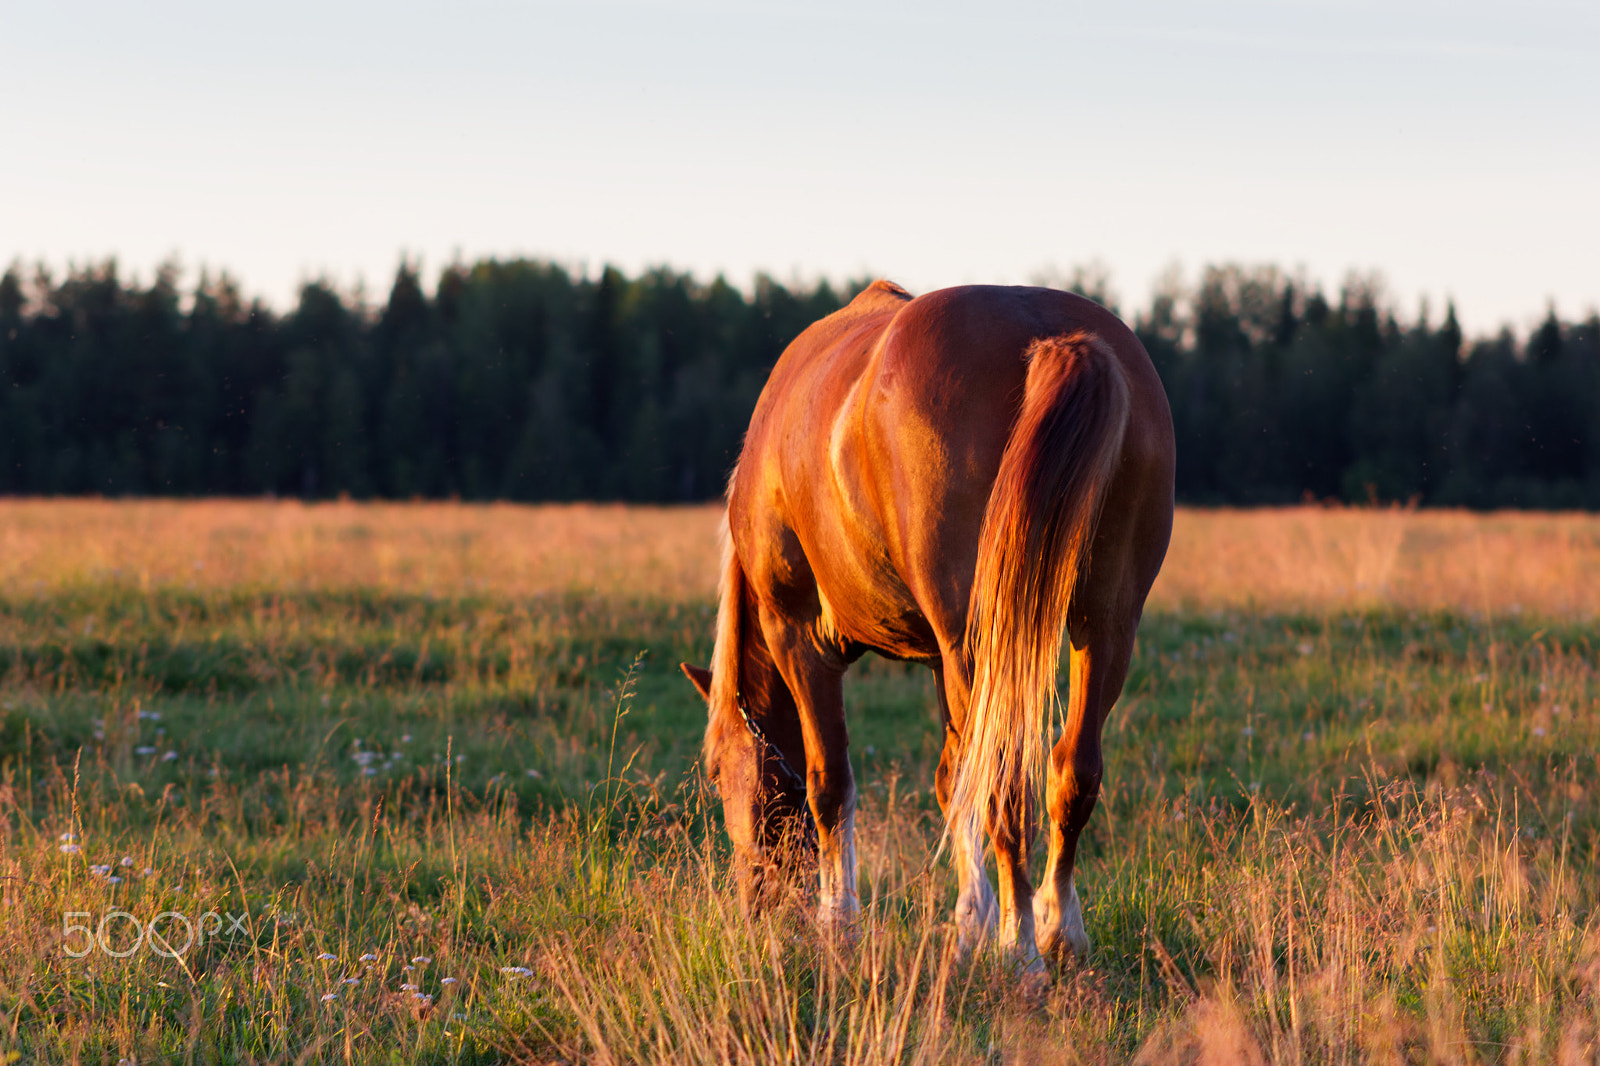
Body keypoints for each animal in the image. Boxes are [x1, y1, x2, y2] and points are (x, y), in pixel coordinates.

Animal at [679, 280, 1174, 969]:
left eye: (717, 771)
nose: (757, 904)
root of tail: (1051, 336)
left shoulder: (798, 636)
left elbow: (830, 783)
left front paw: (840, 922)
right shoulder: (947, 659)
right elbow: (952, 781)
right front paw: (970, 919)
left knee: (1005, 784)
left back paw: (1021, 950)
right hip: (1104, 630)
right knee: (1071, 772)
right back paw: (1057, 929)